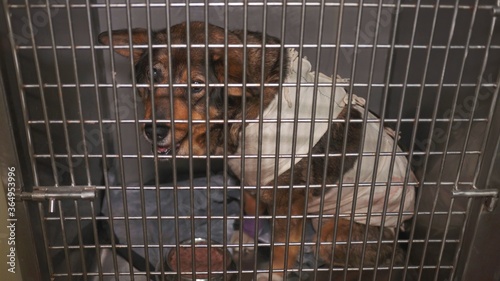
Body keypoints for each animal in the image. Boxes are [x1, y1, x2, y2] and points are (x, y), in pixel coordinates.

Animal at [99, 21, 416, 278]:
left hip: (333, 231)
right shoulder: (251, 177)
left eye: (197, 85)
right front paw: (244, 241)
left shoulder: (288, 202)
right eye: (152, 74)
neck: (244, 114)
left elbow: (282, 247)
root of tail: (404, 231)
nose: (155, 130)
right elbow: (251, 213)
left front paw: (273, 274)